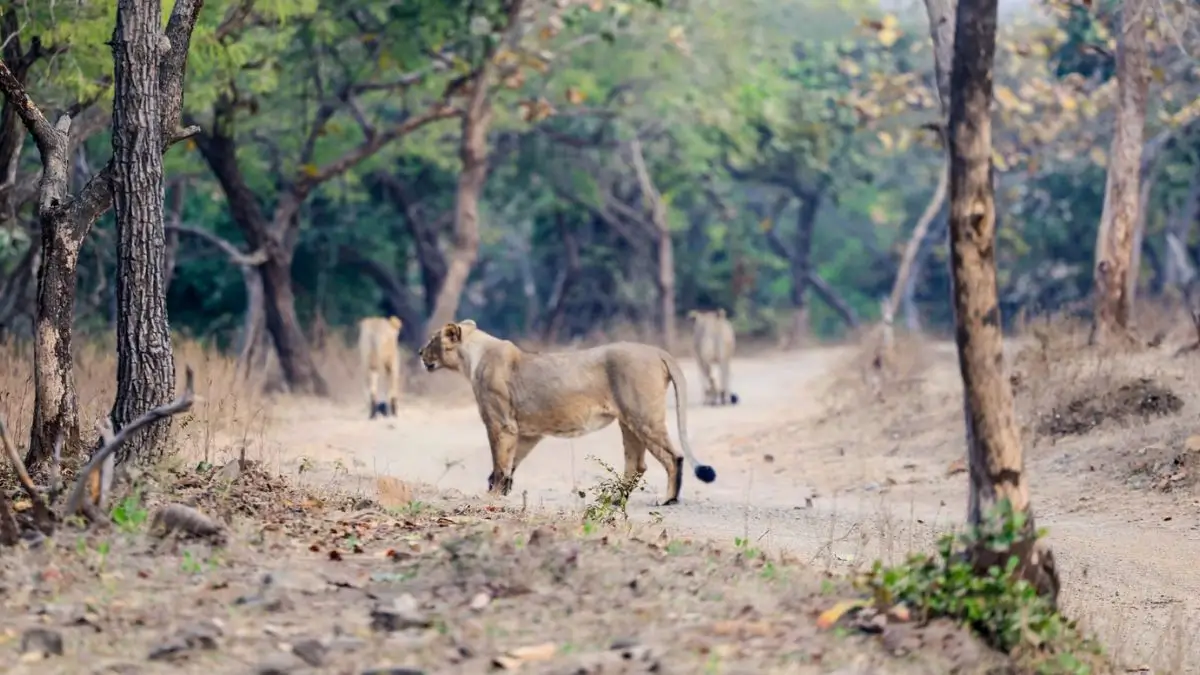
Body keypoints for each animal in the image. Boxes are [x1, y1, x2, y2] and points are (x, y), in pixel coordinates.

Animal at [418, 320, 717, 505]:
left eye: (432, 340)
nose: (420, 352)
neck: (472, 356)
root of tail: (657, 351)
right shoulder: (526, 432)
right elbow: (510, 464)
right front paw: (499, 492)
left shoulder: (500, 423)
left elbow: (500, 463)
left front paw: (491, 497)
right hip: (628, 421)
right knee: (636, 464)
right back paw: (615, 500)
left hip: (643, 416)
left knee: (673, 457)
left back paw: (667, 499)